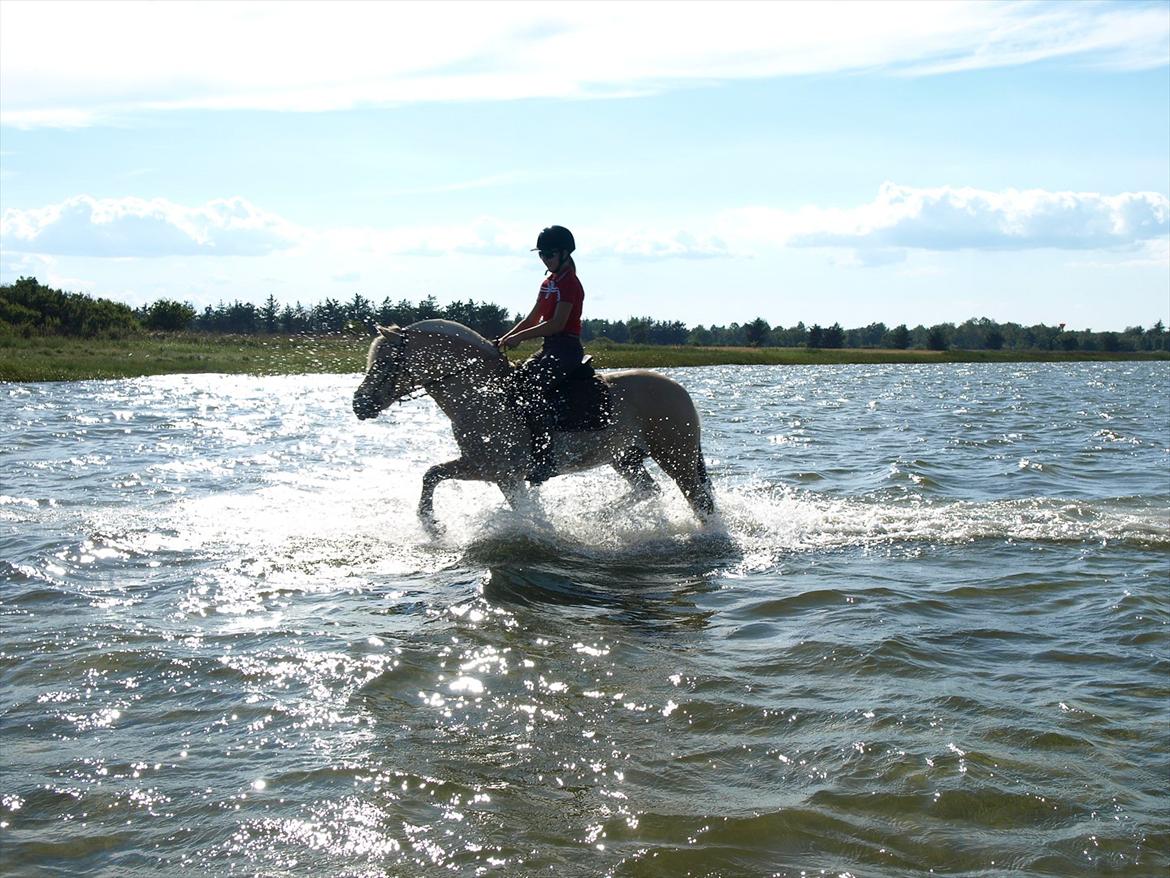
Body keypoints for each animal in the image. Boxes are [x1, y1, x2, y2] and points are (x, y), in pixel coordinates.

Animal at [348, 320, 711, 533]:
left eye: (384, 362)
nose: (359, 404)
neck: (481, 394)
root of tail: (679, 390)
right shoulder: (482, 465)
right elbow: (432, 474)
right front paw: (432, 524)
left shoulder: (497, 470)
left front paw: (431, 523)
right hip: (625, 458)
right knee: (648, 490)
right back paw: (597, 517)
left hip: (676, 458)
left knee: (698, 501)